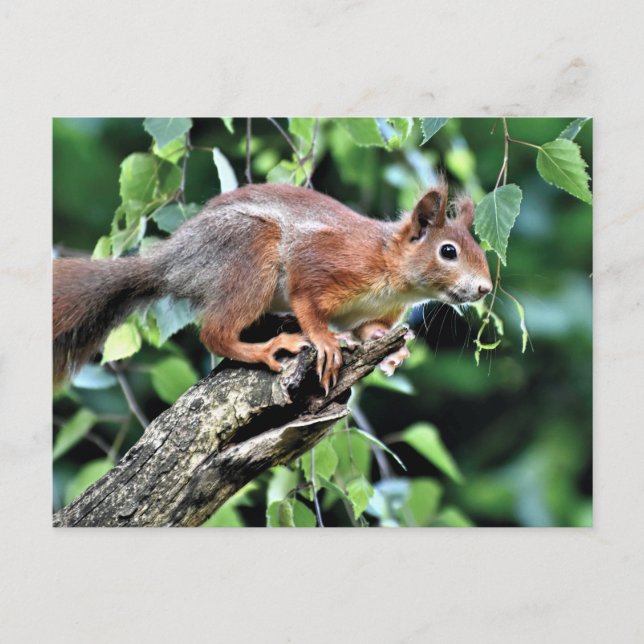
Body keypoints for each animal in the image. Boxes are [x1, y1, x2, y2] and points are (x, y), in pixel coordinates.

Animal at [53, 181, 492, 393]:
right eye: (448, 251)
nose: (486, 289)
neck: (392, 273)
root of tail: (174, 261)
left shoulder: (370, 312)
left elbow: (370, 330)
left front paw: (392, 352)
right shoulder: (323, 261)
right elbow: (307, 299)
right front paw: (326, 341)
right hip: (250, 255)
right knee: (214, 333)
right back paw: (267, 348)